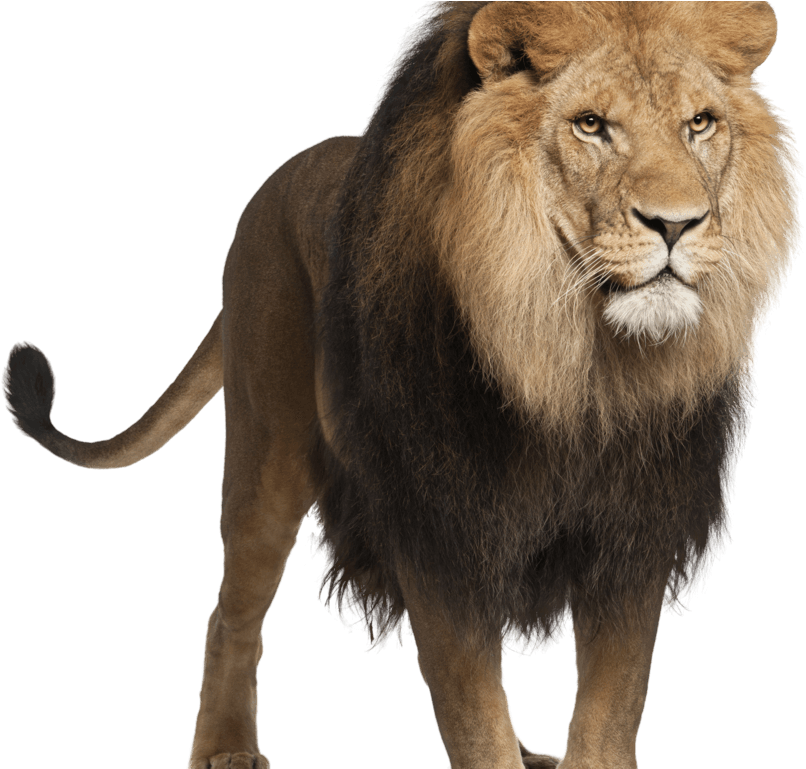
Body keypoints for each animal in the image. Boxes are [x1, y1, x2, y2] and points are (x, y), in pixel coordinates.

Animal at [2, 2, 800, 767]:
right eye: (591, 125)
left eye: (700, 123)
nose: (678, 224)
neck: (578, 368)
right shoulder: (440, 528)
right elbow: (475, 719)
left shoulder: (633, 534)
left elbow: (608, 718)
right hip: (269, 449)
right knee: (231, 611)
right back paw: (224, 748)